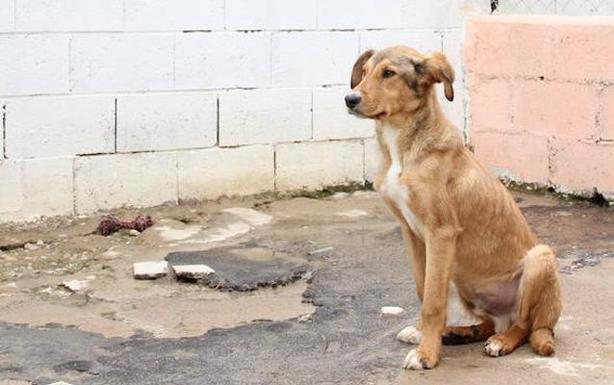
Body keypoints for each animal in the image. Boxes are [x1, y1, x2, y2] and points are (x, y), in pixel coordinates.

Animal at [346, 46, 564, 368]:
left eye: (388, 73)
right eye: (364, 72)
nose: (350, 99)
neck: (402, 147)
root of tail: (548, 322)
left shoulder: (441, 232)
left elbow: (434, 301)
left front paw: (427, 353)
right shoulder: (410, 231)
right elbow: (422, 289)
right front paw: (424, 334)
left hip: (540, 259)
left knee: (523, 326)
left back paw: (501, 341)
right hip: (462, 280)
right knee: (490, 323)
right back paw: (460, 332)